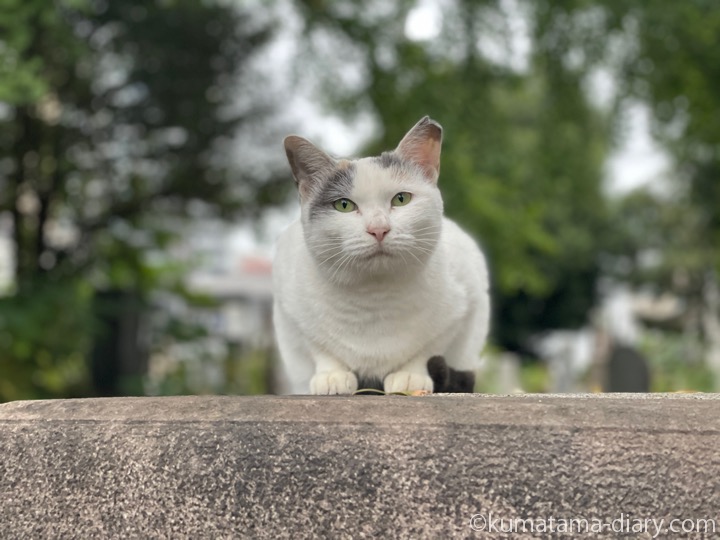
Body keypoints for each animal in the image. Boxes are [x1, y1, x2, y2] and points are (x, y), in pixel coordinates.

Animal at [272, 116, 490, 394]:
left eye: (401, 199)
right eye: (344, 205)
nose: (379, 229)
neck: (374, 299)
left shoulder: (466, 302)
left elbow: (429, 347)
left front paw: (410, 375)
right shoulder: (289, 311)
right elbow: (319, 347)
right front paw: (331, 376)